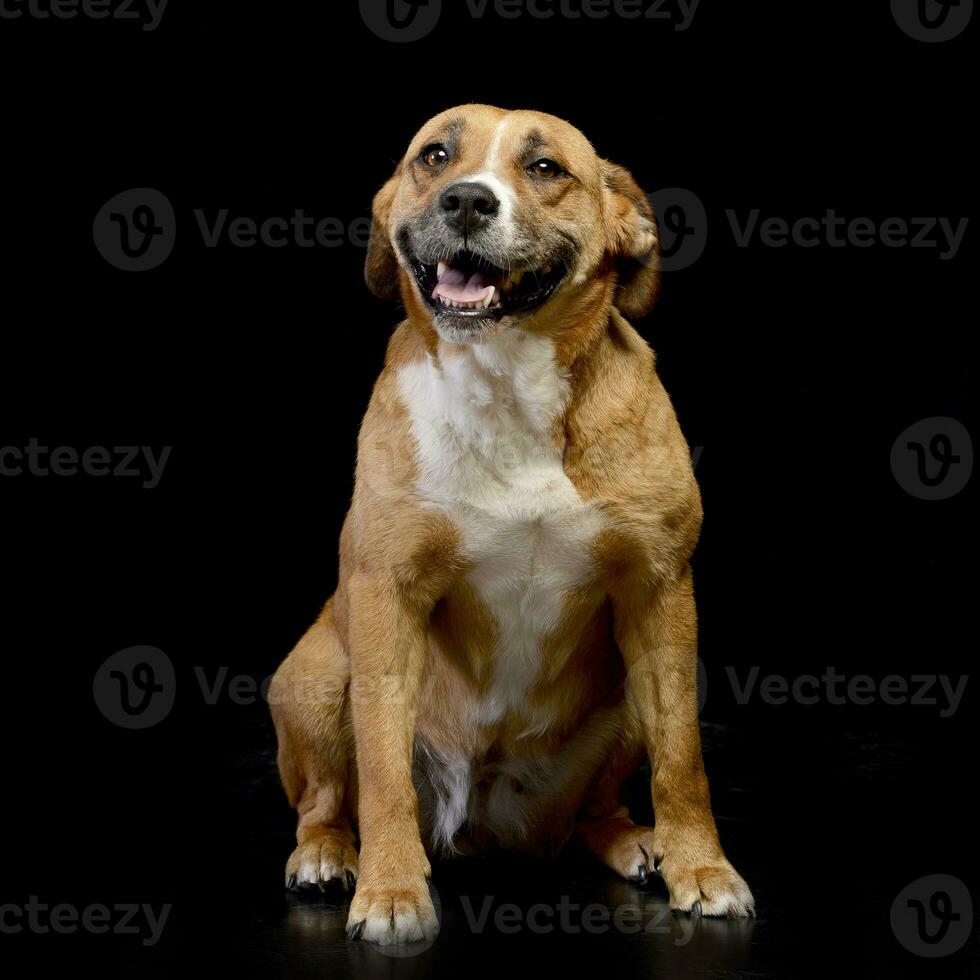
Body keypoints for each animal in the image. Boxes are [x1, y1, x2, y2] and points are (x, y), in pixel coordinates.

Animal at [270, 103, 756, 944]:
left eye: (545, 168)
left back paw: (632, 840)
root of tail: (485, 829)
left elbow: (683, 761)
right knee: (327, 801)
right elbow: (383, 770)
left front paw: (702, 868)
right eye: (435, 155)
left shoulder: (661, 593)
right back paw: (330, 855)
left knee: (598, 807)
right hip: (314, 672)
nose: (466, 200)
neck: (505, 382)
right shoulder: (384, 594)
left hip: (634, 689)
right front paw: (390, 887)